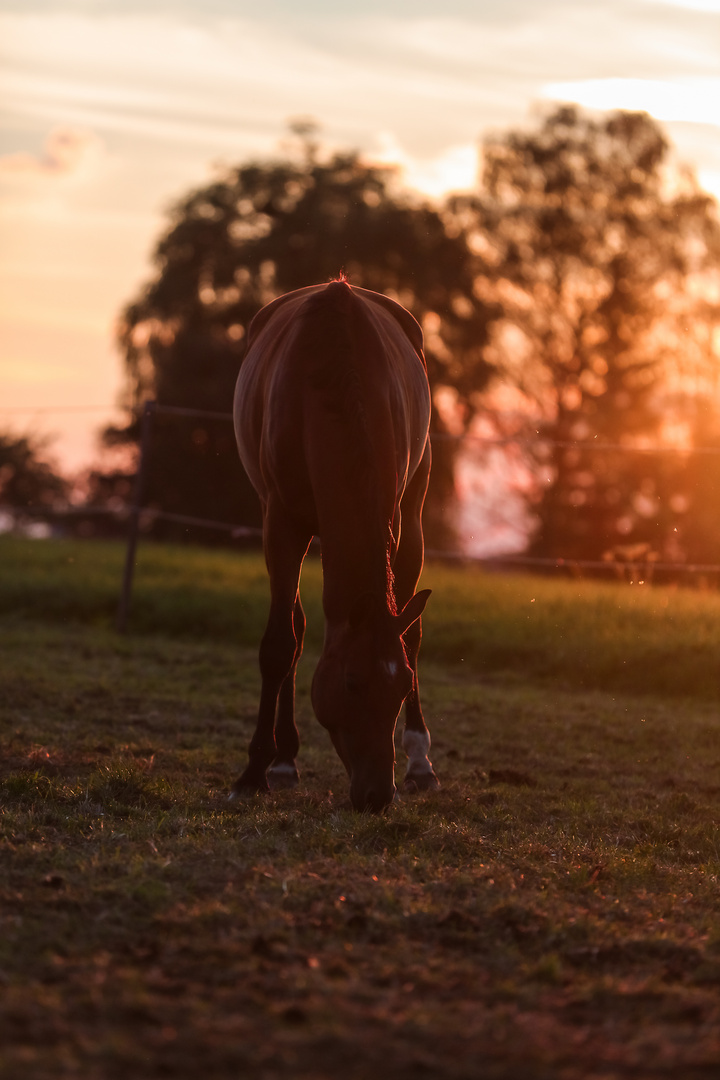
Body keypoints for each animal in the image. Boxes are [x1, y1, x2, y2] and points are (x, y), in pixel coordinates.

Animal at [231, 278, 440, 812]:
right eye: (352, 683)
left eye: (401, 686)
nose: (377, 795)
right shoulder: (280, 523)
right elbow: (281, 643)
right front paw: (255, 772)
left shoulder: (391, 520)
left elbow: (406, 634)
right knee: (298, 626)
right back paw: (285, 759)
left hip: (413, 512)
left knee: (411, 627)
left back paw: (419, 761)